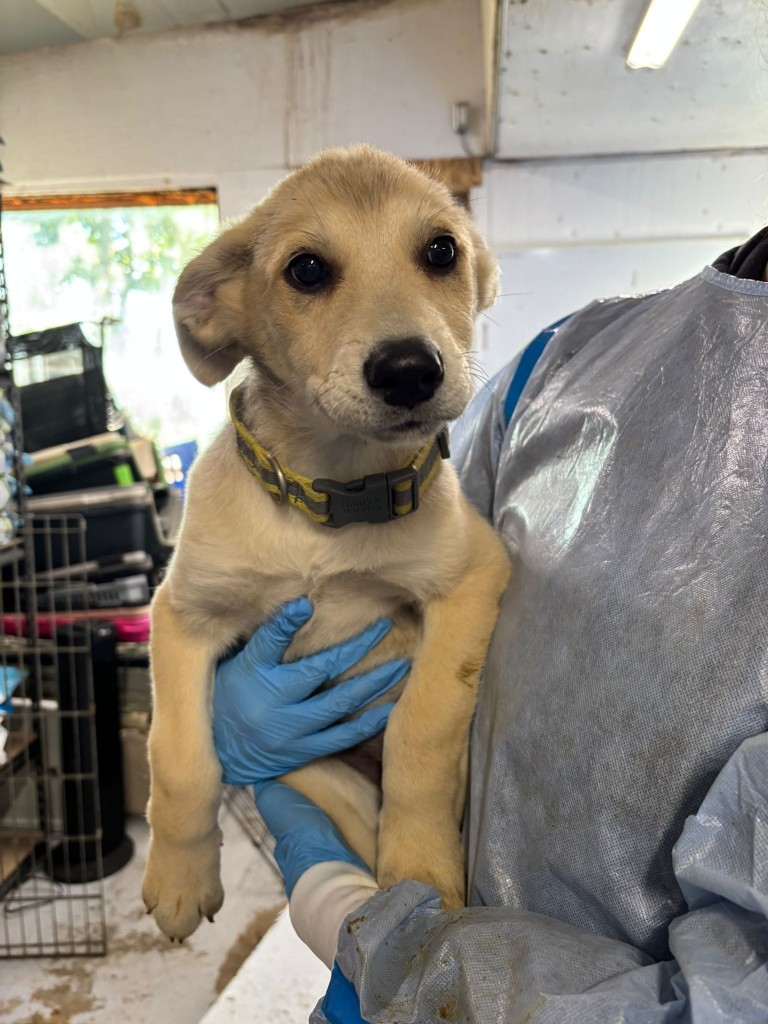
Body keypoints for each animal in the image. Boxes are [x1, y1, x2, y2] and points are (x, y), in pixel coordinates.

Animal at [142, 145, 511, 941]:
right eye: (307, 270)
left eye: (442, 251)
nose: (409, 369)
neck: (329, 502)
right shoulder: (181, 614)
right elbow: (180, 755)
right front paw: (180, 876)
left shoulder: (472, 574)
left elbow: (421, 732)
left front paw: (420, 870)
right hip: (298, 765)